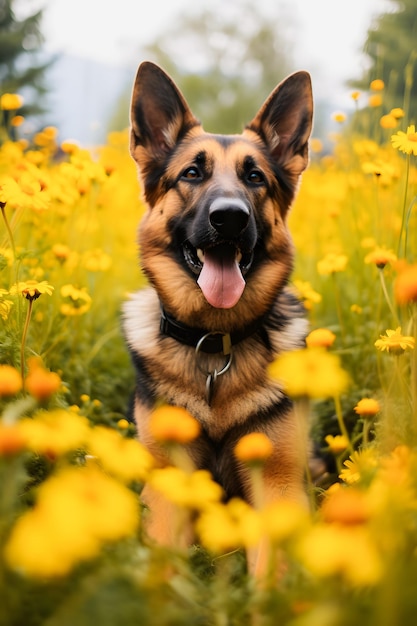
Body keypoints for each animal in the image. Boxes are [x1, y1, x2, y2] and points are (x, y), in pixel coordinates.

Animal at [123, 62, 312, 572]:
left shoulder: (278, 485)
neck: (214, 342)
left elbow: (271, 572)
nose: (230, 217)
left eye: (255, 177)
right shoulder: (169, 485)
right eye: (191, 172)